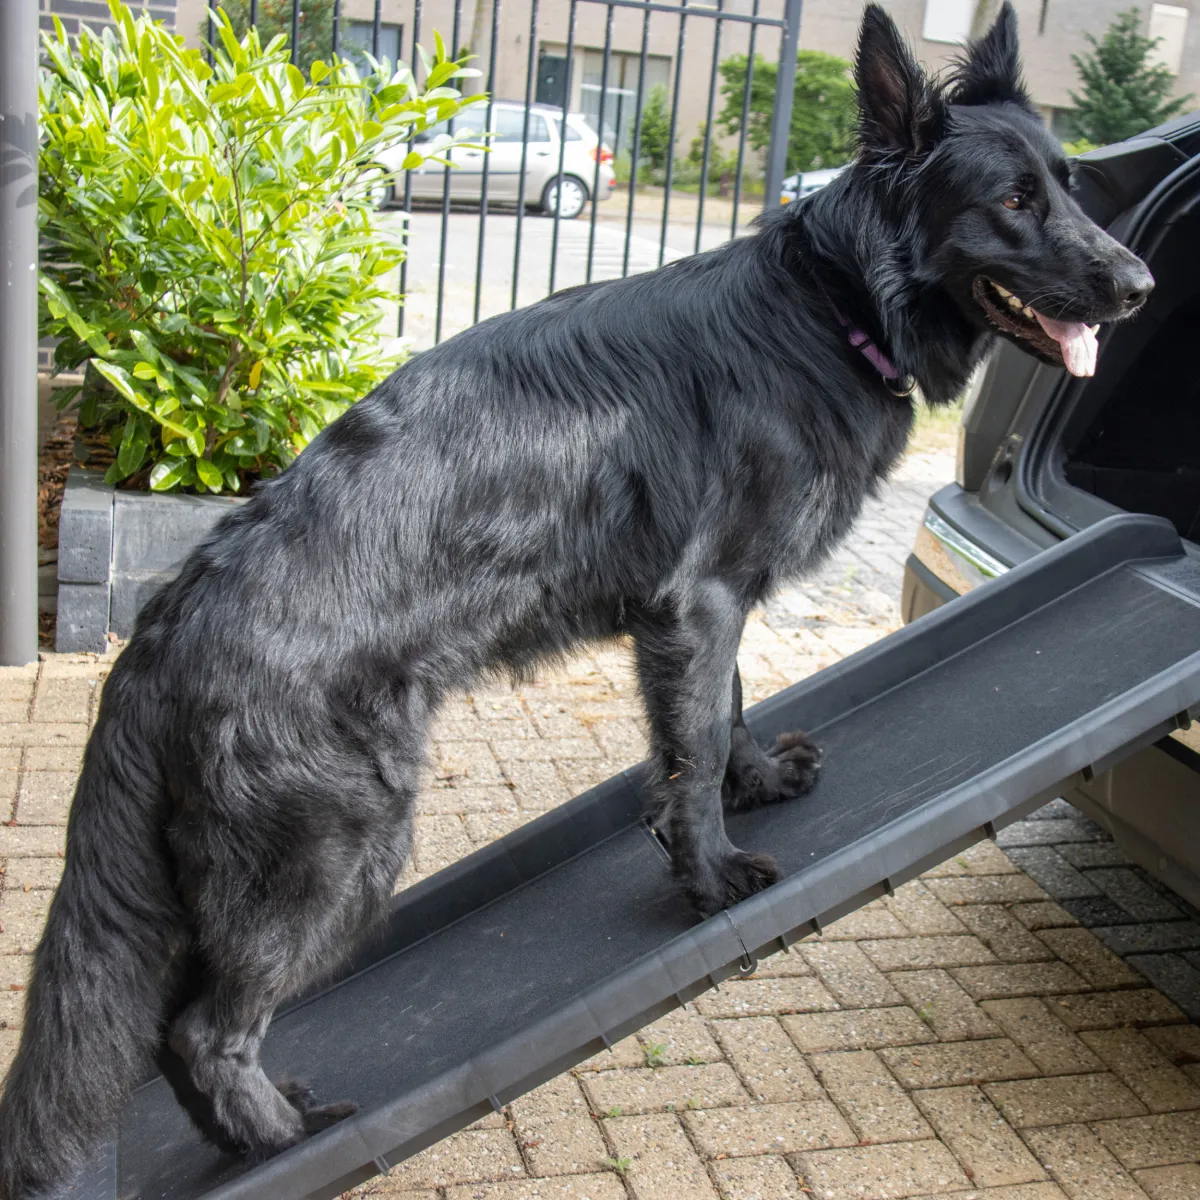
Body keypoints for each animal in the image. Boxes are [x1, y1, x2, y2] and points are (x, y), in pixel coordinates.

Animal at [0, 4, 1152, 1195]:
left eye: (1070, 186)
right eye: (1011, 202)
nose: (1141, 286)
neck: (828, 309)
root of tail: (161, 635)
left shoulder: (709, 608)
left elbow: (727, 709)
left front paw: (758, 783)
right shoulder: (699, 602)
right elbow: (693, 748)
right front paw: (712, 874)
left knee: (174, 1033)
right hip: (340, 850)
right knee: (202, 1031)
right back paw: (285, 1139)